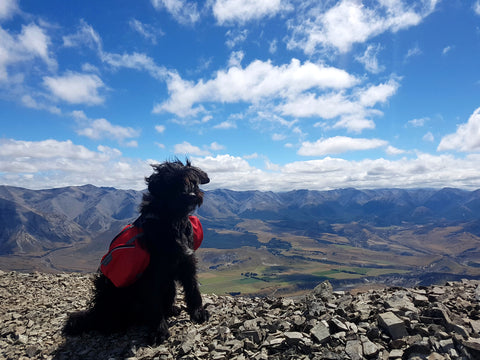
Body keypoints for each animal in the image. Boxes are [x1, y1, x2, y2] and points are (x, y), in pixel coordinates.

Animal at [65, 160, 210, 344]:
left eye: (193, 181)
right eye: (173, 183)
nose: (192, 194)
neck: (172, 220)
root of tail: (95, 314)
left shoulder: (187, 262)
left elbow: (192, 289)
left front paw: (198, 312)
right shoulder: (152, 275)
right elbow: (154, 305)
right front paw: (158, 331)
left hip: (168, 286)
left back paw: (171, 310)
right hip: (113, 295)